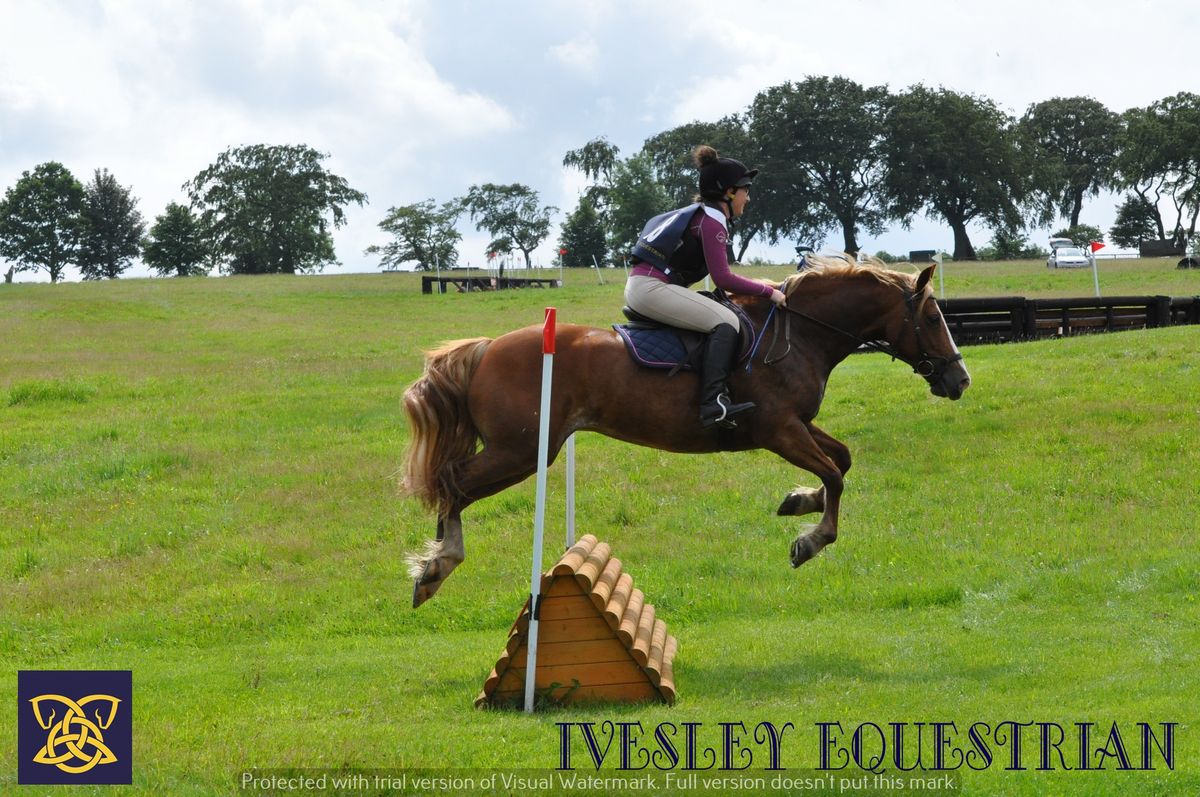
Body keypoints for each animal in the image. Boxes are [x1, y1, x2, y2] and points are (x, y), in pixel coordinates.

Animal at [398, 258, 969, 607]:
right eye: (934, 319)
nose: (959, 380)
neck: (802, 334)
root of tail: (486, 348)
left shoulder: (798, 425)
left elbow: (841, 461)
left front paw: (797, 502)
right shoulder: (779, 430)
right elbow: (835, 474)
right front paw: (810, 542)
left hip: (522, 450)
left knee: (452, 486)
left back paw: (434, 567)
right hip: (520, 451)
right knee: (451, 483)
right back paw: (437, 567)